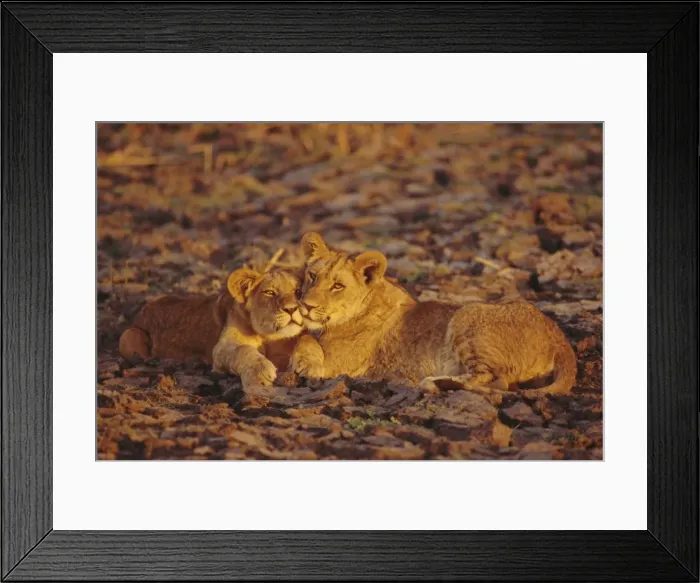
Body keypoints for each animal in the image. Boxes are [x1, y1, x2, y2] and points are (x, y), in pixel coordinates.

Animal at [118, 267, 304, 389]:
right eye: (270, 292)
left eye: (297, 291)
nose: (291, 309)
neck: (269, 335)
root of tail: (145, 307)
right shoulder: (221, 349)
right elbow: (243, 349)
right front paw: (260, 373)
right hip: (130, 335)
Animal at [290, 232, 577, 396]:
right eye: (312, 276)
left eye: (338, 286)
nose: (306, 306)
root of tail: (559, 336)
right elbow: (303, 334)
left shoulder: (339, 364)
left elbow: (303, 338)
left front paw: (306, 364)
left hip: (467, 314)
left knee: (497, 381)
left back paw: (434, 384)